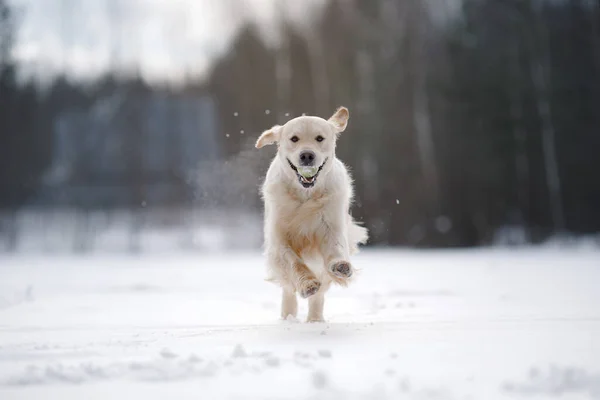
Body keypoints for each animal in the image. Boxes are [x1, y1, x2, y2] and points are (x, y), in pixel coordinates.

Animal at [254, 106, 368, 322]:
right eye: (294, 138)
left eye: (319, 138)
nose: (307, 156)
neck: (305, 195)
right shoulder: (279, 239)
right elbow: (294, 263)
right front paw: (308, 284)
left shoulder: (331, 224)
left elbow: (335, 247)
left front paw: (340, 265)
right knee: (288, 291)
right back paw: (288, 318)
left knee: (319, 295)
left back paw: (315, 321)